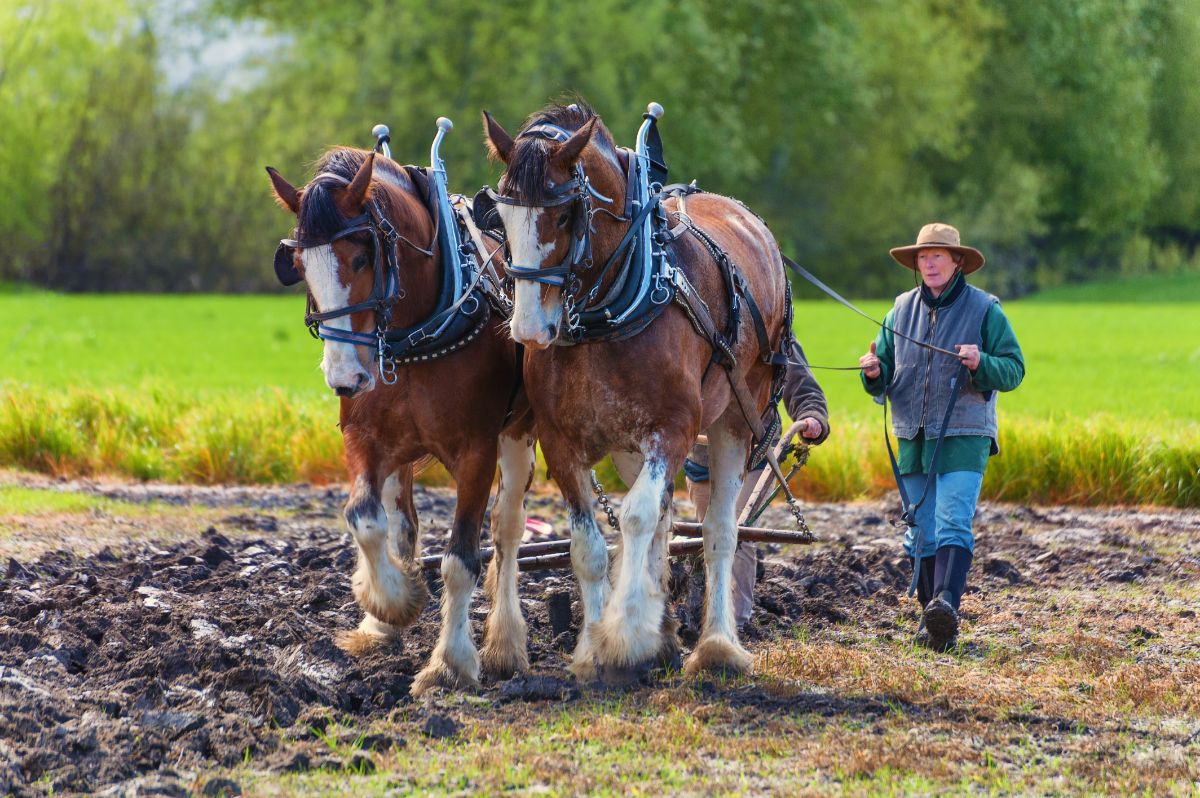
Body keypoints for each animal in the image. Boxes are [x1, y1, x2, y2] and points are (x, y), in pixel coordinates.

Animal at [272, 141, 540, 691]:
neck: (417, 333)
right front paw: (391, 604)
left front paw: (450, 663)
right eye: (300, 266)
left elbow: (461, 559)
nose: (344, 377)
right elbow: (365, 519)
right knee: (400, 522)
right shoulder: (363, 438)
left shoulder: (476, 452)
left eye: (361, 256)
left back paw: (505, 642)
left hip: (518, 434)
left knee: (506, 531)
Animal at [482, 102, 792, 681]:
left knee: (718, 531)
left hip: (737, 417)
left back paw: (716, 645)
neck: (610, 311)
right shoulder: (560, 440)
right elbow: (590, 545)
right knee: (666, 524)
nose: (530, 329)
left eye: (566, 215)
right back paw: (663, 635)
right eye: (502, 217)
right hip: (629, 443)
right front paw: (594, 650)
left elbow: (636, 518)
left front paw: (623, 635)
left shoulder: (673, 429)